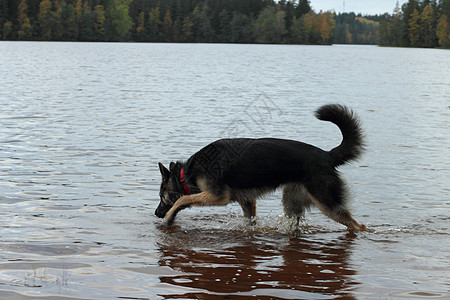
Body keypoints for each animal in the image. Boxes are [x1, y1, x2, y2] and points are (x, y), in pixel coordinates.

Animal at [156, 104, 368, 231]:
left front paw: (169, 216)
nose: (156, 213)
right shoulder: (247, 201)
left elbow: (182, 199)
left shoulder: (217, 196)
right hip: (291, 202)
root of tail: (327, 155)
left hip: (327, 204)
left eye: (161, 197)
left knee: (358, 226)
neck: (186, 174)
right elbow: (250, 221)